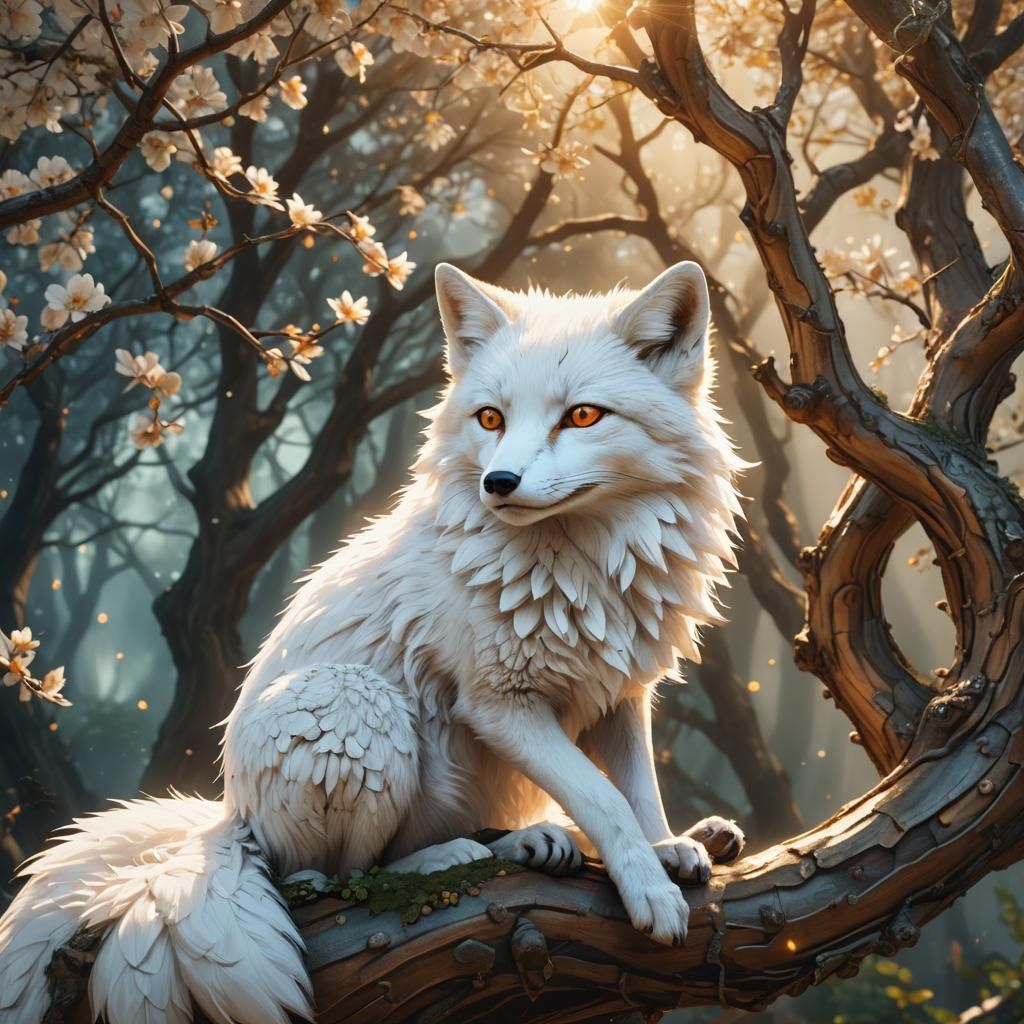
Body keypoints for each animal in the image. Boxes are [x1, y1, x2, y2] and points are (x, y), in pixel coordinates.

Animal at [0, 260, 747, 1024]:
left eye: (583, 416)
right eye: (491, 418)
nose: (498, 482)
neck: (582, 568)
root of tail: (229, 817)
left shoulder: (620, 693)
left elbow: (637, 791)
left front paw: (667, 849)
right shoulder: (500, 706)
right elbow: (601, 798)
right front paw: (649, 891)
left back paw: (543, 841)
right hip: (354, 703)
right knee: (335, 874)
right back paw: (459, 856)